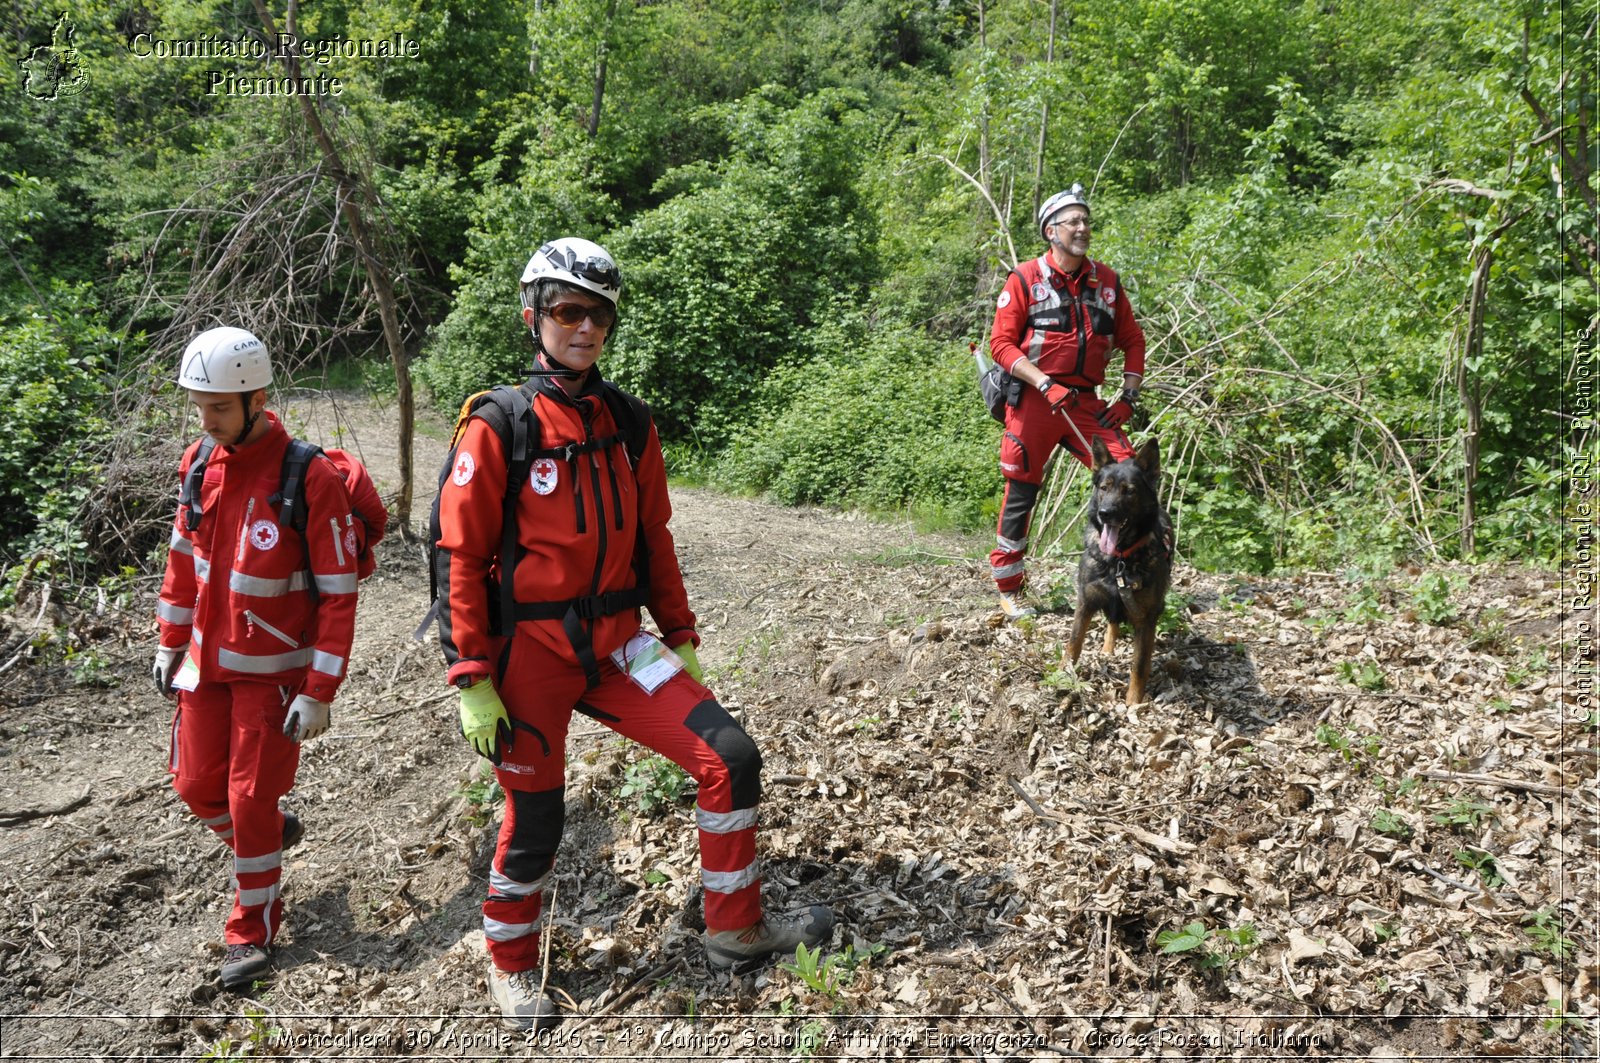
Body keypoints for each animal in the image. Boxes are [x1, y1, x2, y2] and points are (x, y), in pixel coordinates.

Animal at [1062, 435, 1177, 710]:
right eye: (1104, 488)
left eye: (1130, 491)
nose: (1105, 514)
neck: (1119, 560)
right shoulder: (1085, 602)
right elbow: (1073, 643)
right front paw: (1061, 675)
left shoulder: (1146, 618)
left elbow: (1139, 665)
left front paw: (1133, 703)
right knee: (1113, 621)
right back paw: (1107, 647)